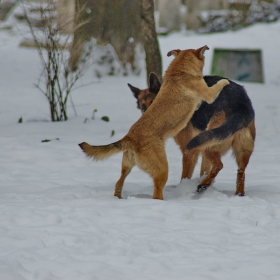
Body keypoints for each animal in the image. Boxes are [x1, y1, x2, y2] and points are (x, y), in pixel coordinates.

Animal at [79, 45, 230, 199]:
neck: (179, 71)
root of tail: (129, 138)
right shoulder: (208, 94)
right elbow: (218, 86)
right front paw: (226, 81)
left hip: (127, 166)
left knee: (118, 182)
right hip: (162, 170)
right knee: (157, 192)